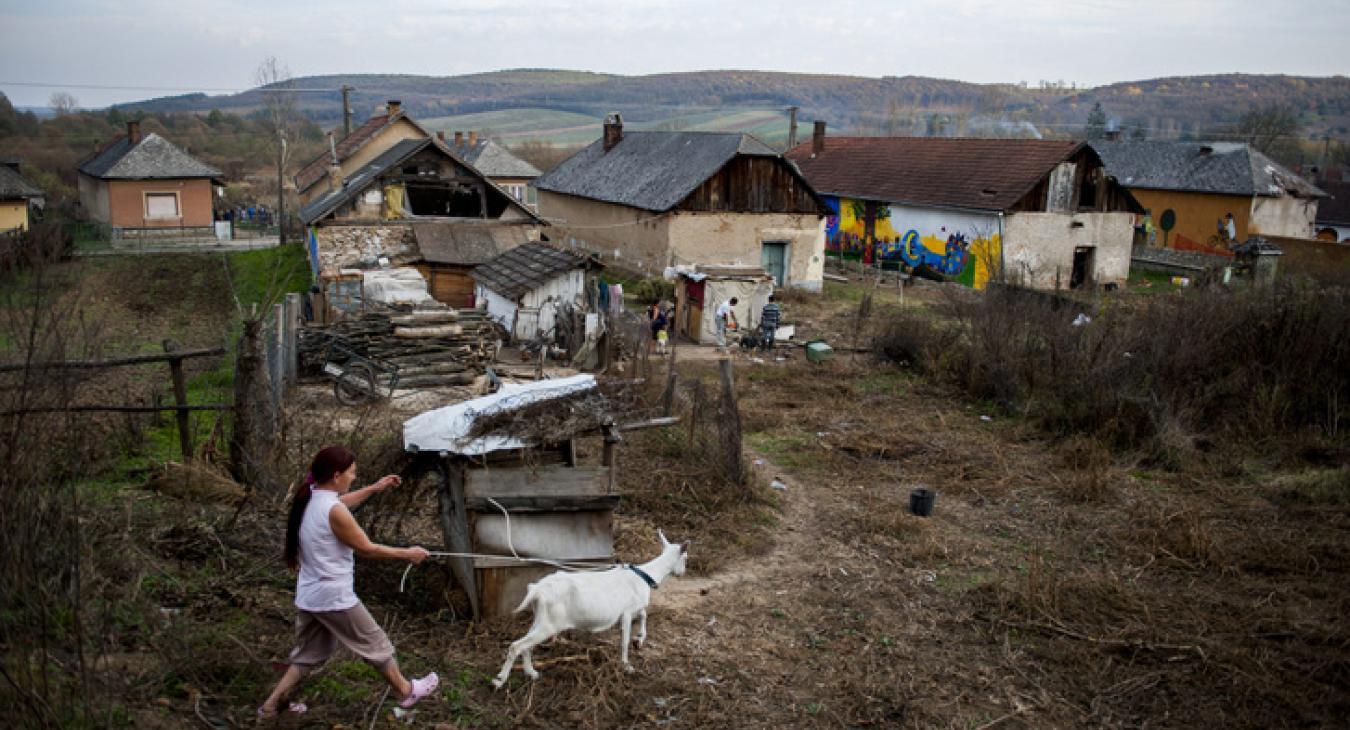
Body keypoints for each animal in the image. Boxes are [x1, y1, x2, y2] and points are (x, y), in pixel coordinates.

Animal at [494, 526, 691, 685]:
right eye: (686, 558)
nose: (682, 573)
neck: (645, 575)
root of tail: (537, 590)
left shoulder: (632, 608)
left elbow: (643, 614)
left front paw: (639, 639)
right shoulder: (627, 612)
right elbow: (625, 639)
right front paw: (626, 665)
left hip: (541, 618)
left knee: (526, 646)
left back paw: (531, 673)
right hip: (549, 624)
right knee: (516, 646)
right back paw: (500, 680)